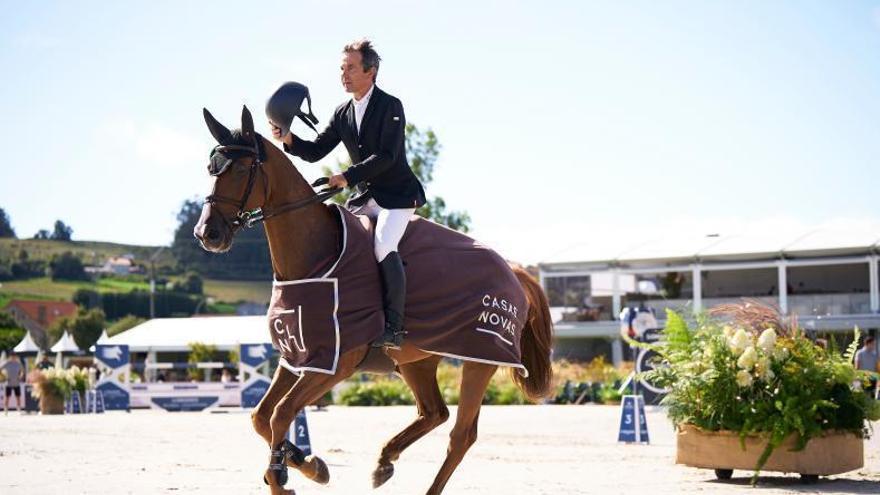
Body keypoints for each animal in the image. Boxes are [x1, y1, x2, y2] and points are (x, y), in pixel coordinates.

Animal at [195, 107, 552, 495]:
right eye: (210, 169)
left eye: (241, 170)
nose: (207, 234)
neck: (313, 257)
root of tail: (513, 270)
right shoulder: (297, 356)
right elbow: (261, 417)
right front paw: (309, 464)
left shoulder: (336, 363)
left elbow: (281, 414)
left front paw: (286, 474)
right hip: (416, 360)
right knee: (434, 412)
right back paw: (384, 461)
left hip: (479, 359)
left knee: (461, 435)